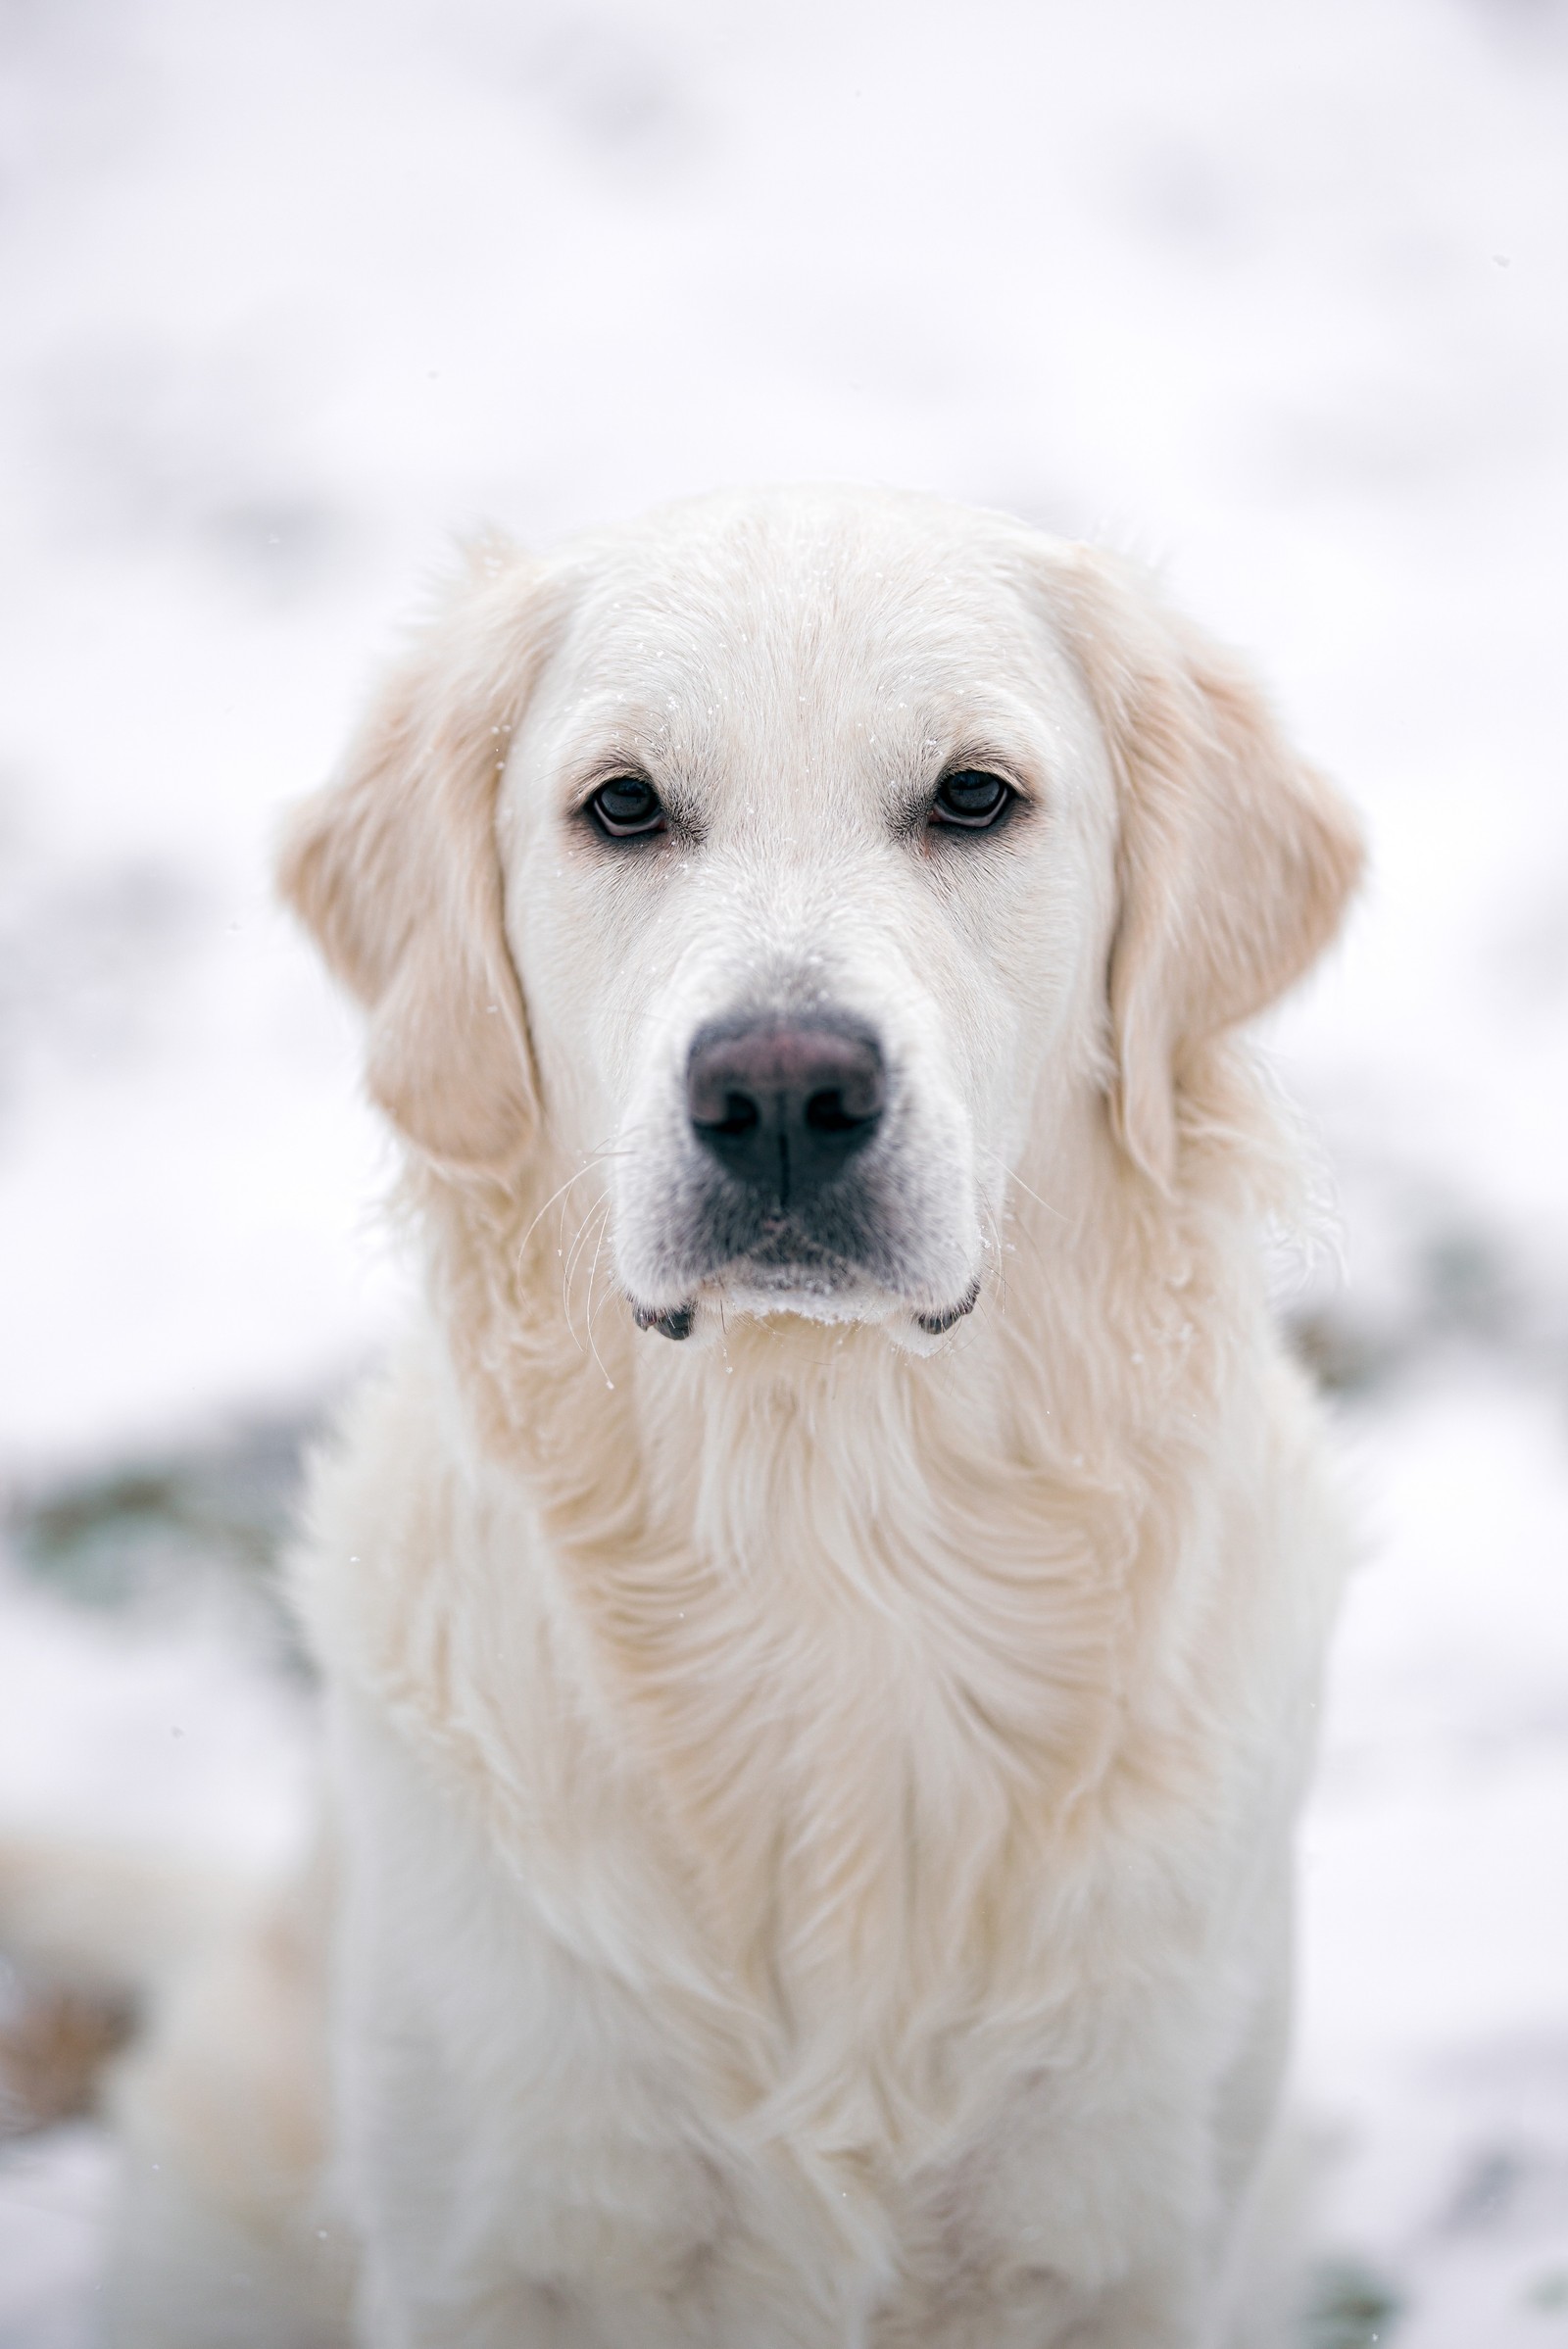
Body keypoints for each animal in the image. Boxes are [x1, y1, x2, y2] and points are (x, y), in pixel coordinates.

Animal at [92, 486, 1361, 2339]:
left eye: (974, 796)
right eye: (623, 806)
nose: (778, 1090)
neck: (826, 1531)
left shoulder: (1129, 2237)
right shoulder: (492, 2242)